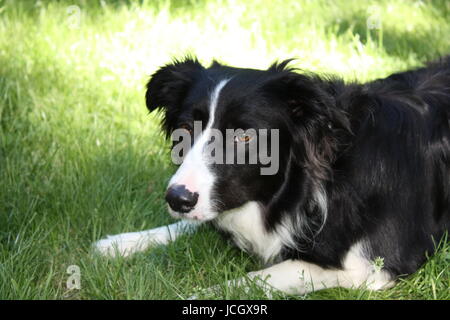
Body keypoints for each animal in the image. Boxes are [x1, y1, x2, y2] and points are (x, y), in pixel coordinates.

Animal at [93, 56, 448, 296]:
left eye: (244, 137)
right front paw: (121, 243)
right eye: (185, 129)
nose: (177, 199)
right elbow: (199, 222)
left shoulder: (372, 266)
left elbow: (254, 278)